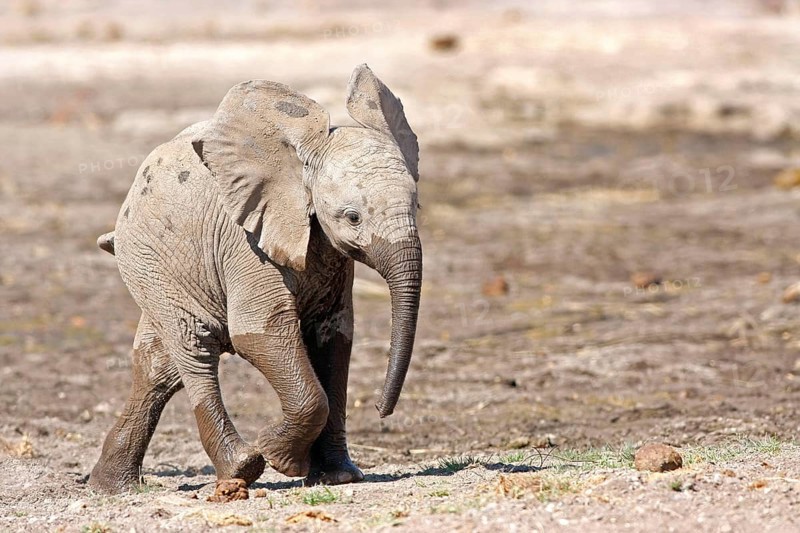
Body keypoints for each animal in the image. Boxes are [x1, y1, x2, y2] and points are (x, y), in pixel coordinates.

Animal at [88, 64, 422, 494]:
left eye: (417, 205)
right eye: (352, 217)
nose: (382, 411)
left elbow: (334, 337)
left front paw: (339, 477)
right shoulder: (245, 243)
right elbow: (259, 332)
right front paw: (282, 458)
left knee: (159, 365)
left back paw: (110, 487)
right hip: (148, 261)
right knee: (193, 348)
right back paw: (240, 469)